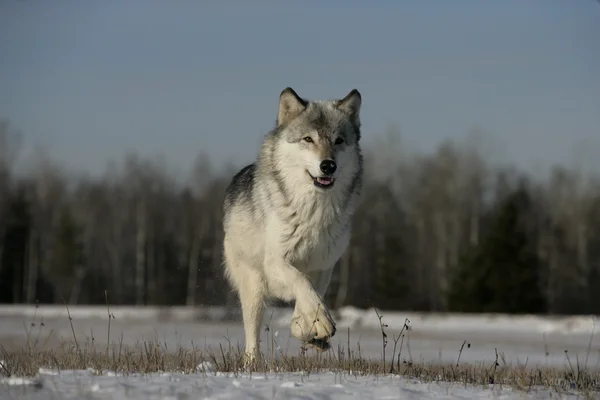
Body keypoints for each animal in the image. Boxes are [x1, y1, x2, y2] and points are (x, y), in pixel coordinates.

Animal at [223, 86, 364, 360]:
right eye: (308, 139)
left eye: (339, 141)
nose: (328, 165)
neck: (312, 212)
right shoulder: (276, 262)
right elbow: (302, 283)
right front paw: (321, 323)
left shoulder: (324, 266)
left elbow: (309, 298)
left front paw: (310, 331)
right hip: (253, 286)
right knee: (252, 335)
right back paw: (252, 362)